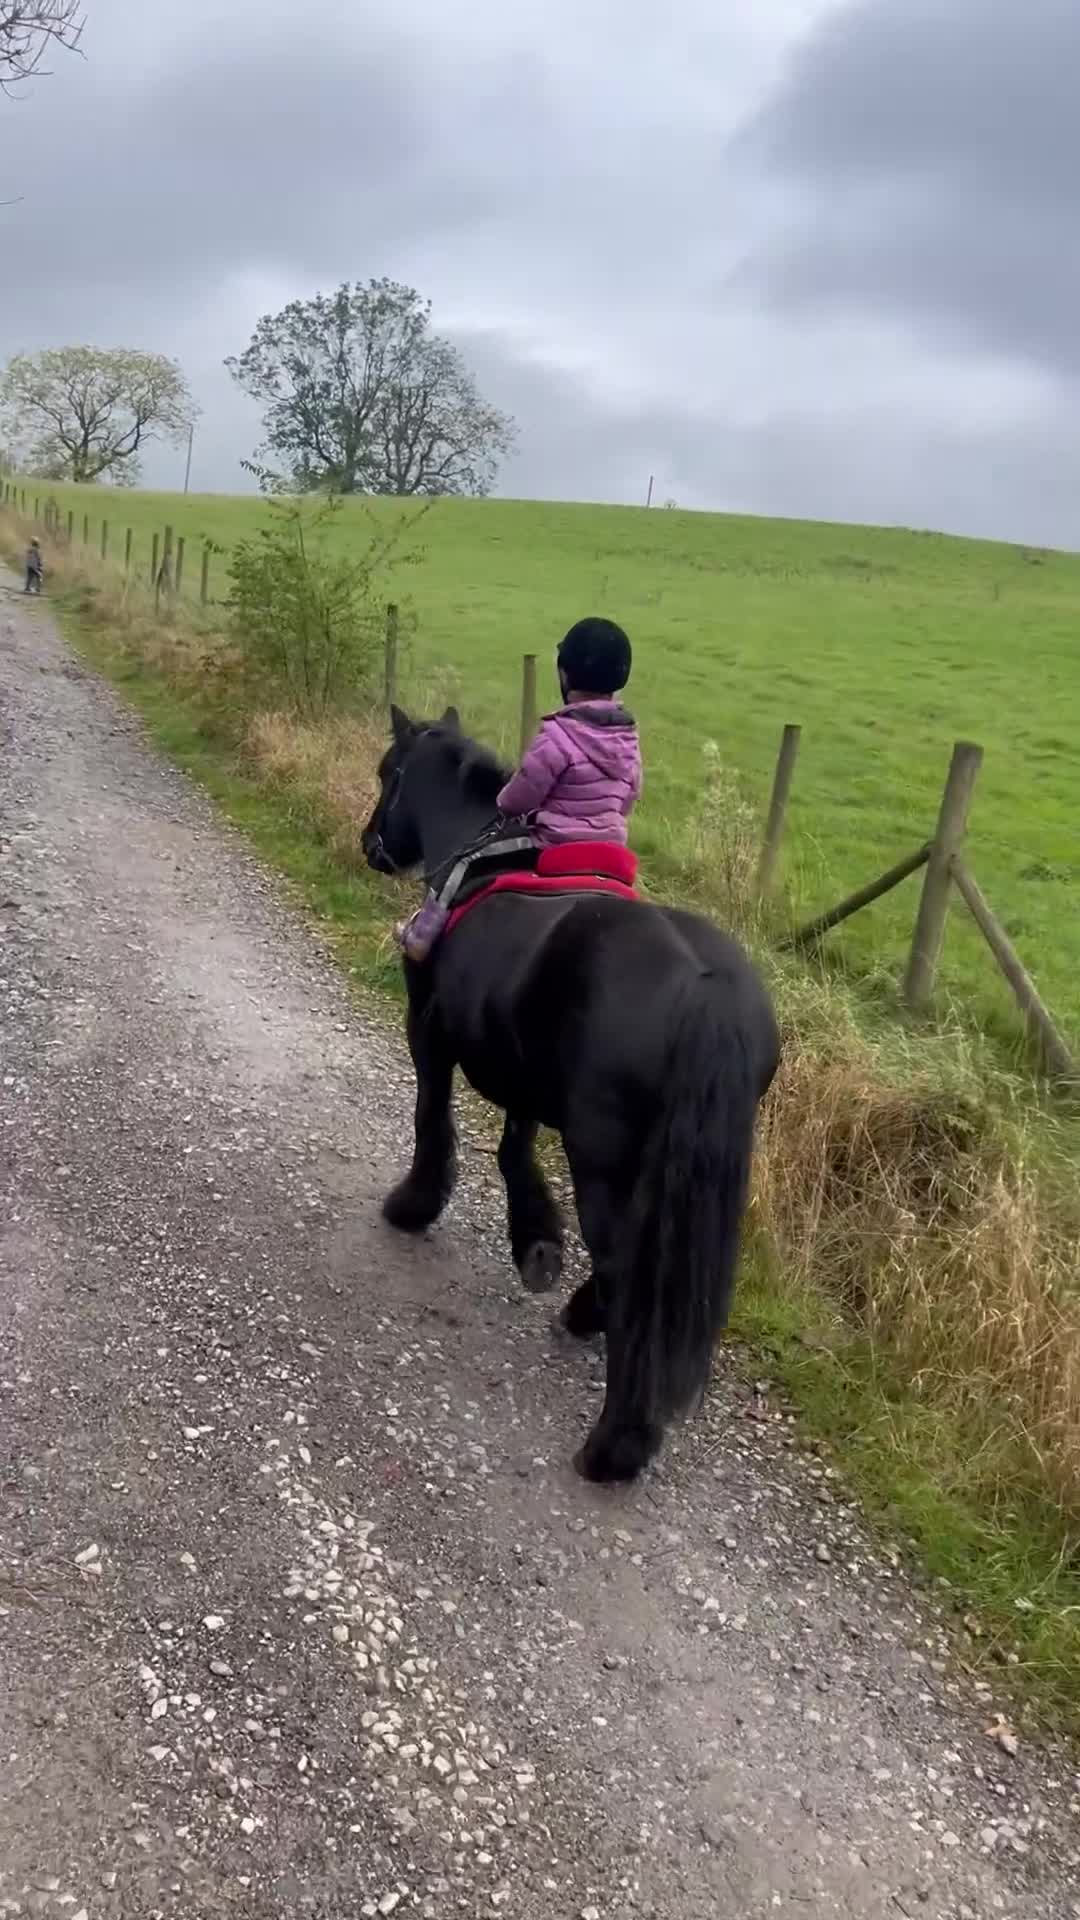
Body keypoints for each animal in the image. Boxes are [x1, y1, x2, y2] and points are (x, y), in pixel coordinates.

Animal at [362, 705, 780, 1484]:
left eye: (388, 771)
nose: (372, 844)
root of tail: (706, 988)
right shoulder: (524, 1073)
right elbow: (512, 1150)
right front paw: (536, 1242)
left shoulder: (429, 1032)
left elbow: (433, 1118)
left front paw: (413, 1205)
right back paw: (587, 1319)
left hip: (603, 1157)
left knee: (627, 1265)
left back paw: (615, 1444)